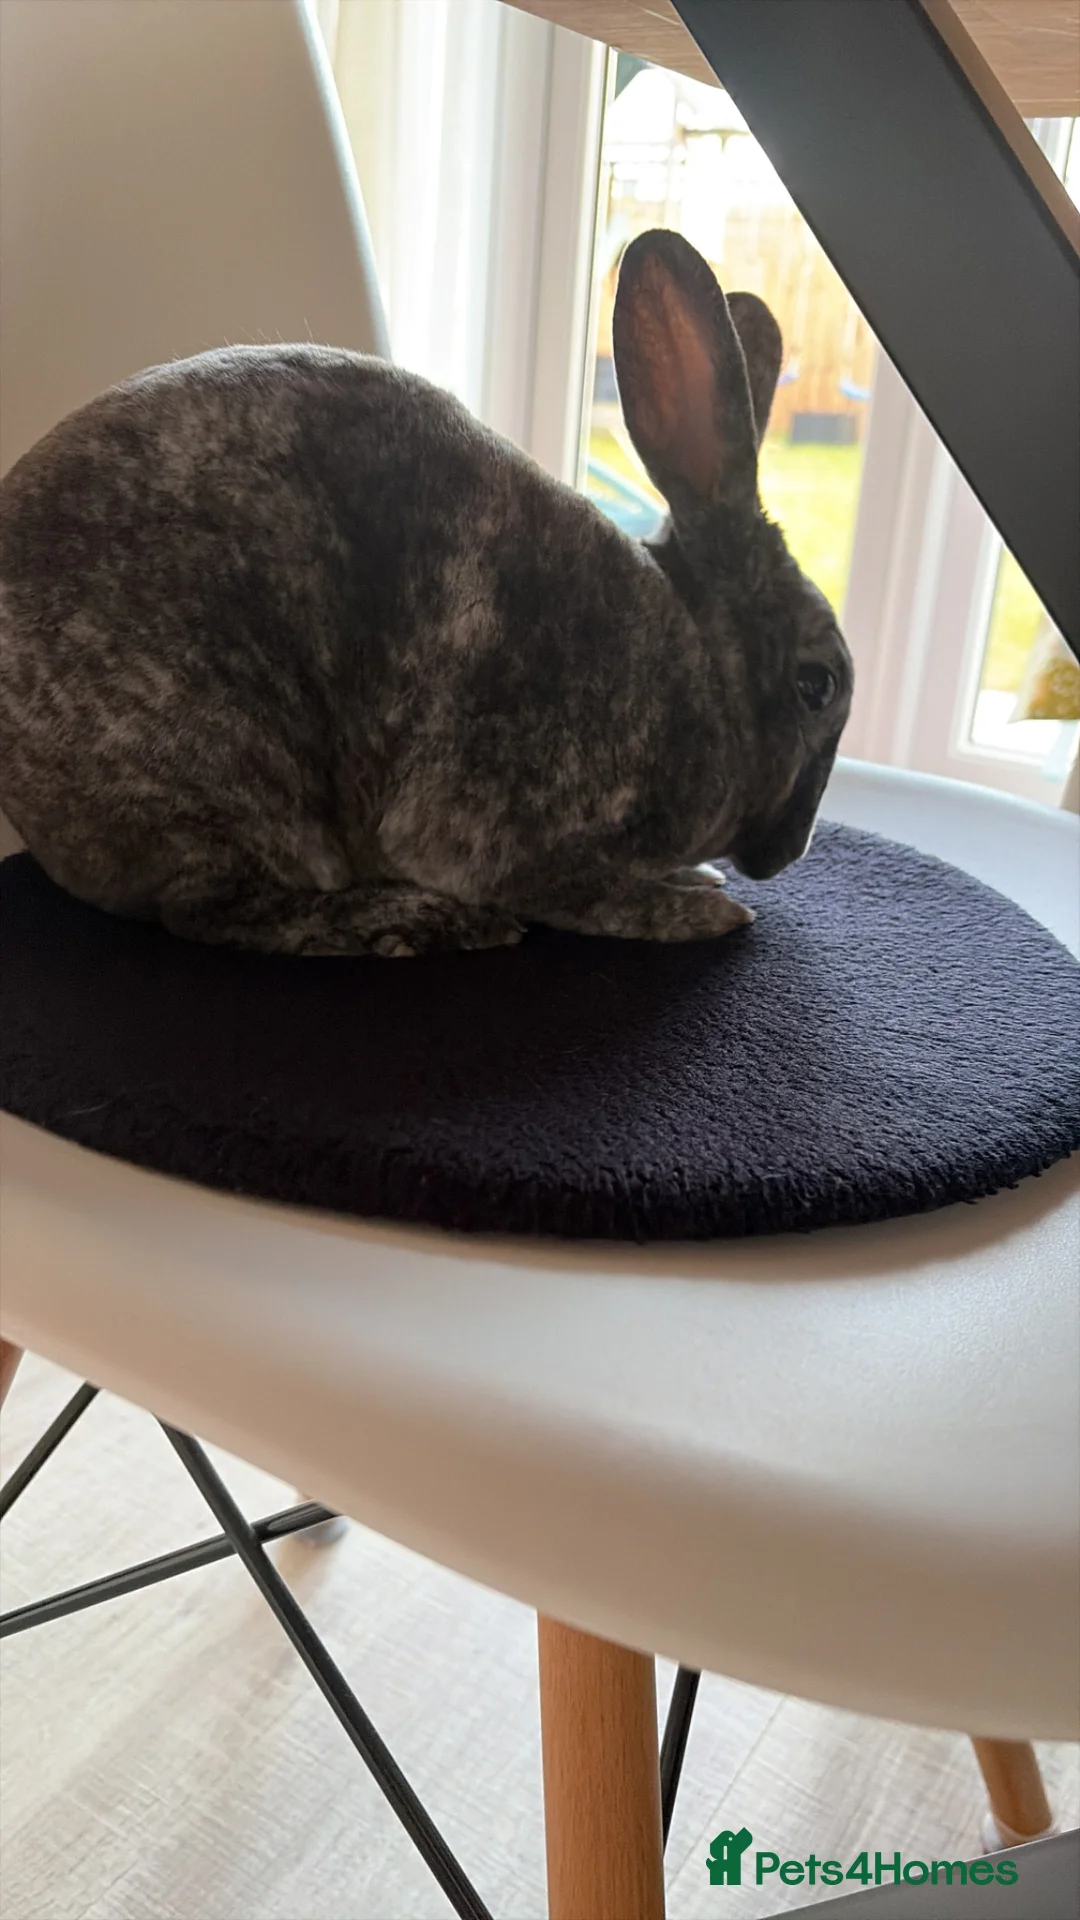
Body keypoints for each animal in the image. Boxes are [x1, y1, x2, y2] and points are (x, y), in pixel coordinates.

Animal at [0, 229, 852, 958]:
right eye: (817, 685)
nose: (785, 857)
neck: (708, 673)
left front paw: (697, 877)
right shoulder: (505, 832)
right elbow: (583, 896)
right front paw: (699, 908)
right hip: (224, 763)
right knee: (216, 911)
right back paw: (424, 922)